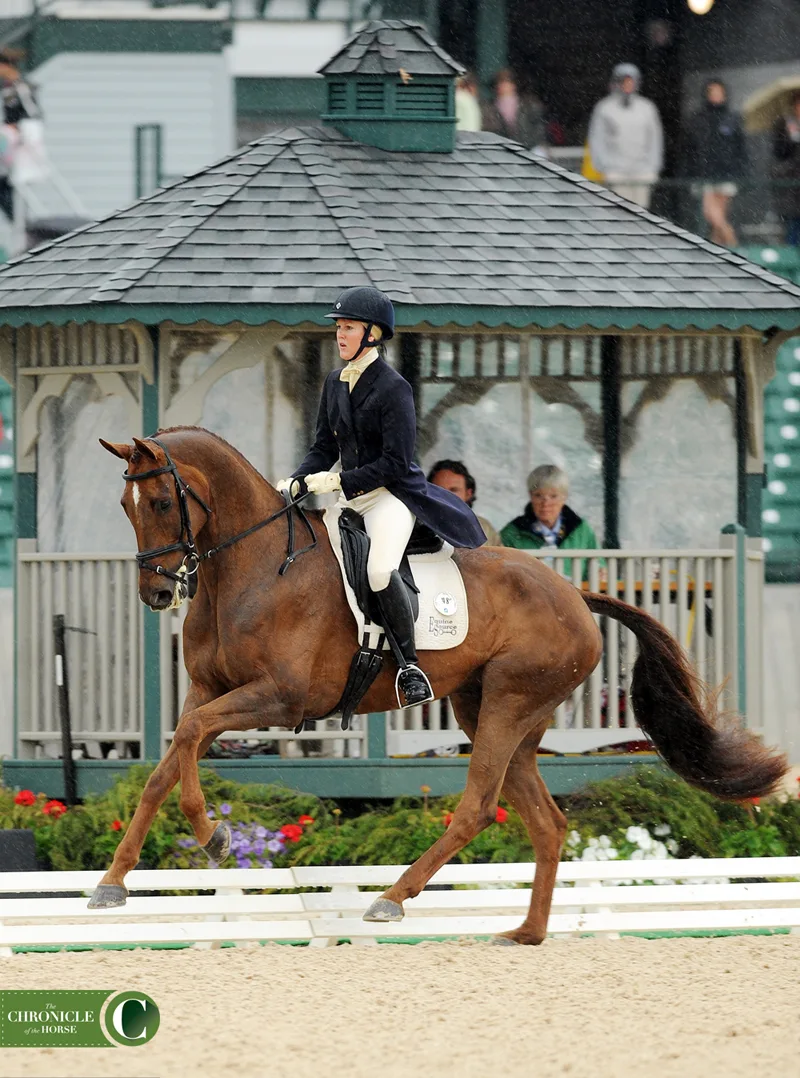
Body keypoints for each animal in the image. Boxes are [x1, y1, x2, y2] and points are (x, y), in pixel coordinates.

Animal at [93, 426, 789, 944]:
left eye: (162, 503)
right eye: (125, 508)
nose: (156, 593)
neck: (256, 568)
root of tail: (574, 591)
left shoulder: (279, 698)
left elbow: (190, 737)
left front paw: (212, 835)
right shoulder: (207, 690)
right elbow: (167, 762)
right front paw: (113, 882)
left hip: (508, 702)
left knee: (480, 805)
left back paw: (392, 898)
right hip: (491, 713)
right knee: (546, 821)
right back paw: (525, 933)